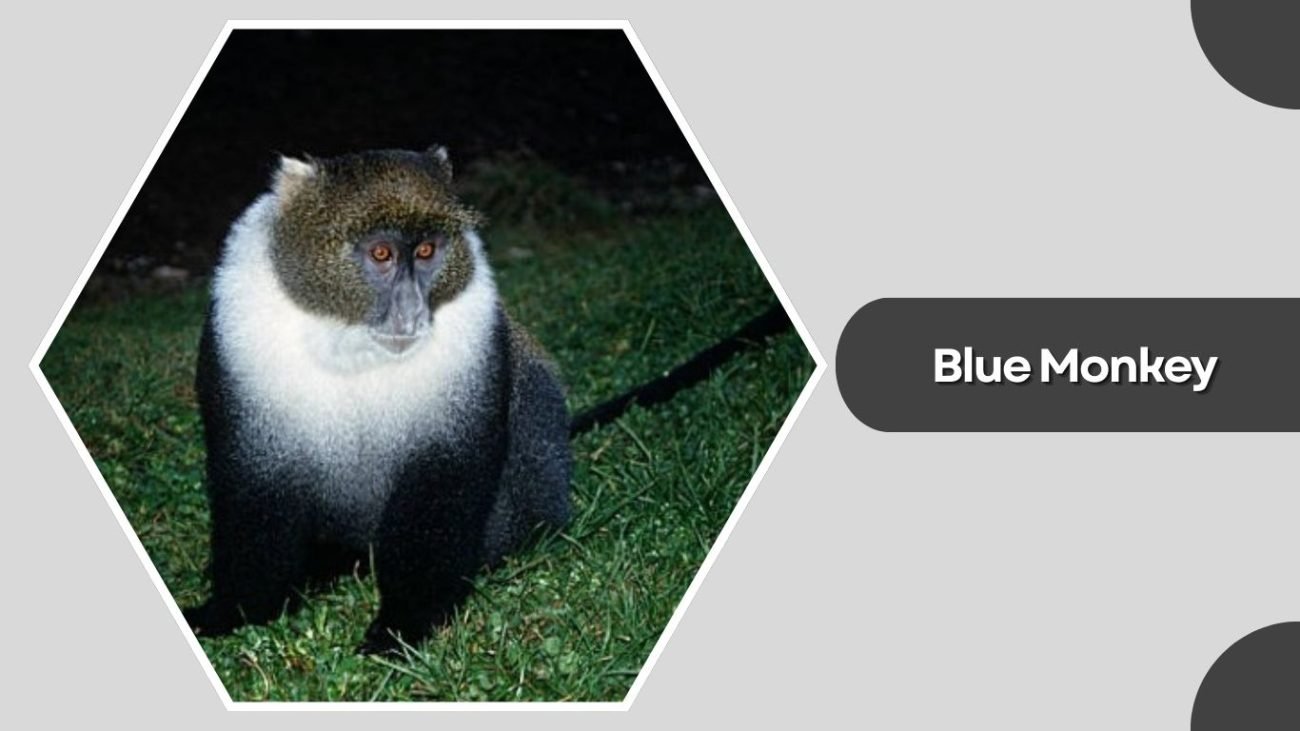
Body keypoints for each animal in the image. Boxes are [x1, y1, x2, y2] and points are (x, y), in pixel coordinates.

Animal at [182, 145, 572, 655]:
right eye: (382, 253)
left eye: (426, 251)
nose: (412, 313)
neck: (349, 339)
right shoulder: (239, 333)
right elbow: (251, 485)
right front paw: (233, 612)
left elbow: (445, 482)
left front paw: (404, 624)